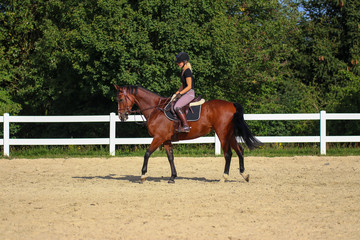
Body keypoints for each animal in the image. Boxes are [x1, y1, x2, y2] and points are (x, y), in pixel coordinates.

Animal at [115, 85, 262, 183]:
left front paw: (143, 175)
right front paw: (172, 177)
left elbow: (147, 154)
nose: (121, 116)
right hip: (230, 134)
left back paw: (224, 177)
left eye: (120, 99)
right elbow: (170, 158)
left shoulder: (158, 138)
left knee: (228, 154)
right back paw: (244, 175)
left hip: (223, 133)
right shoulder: (166, 140)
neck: (156, 109)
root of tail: (231, 104)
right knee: (240, 151)